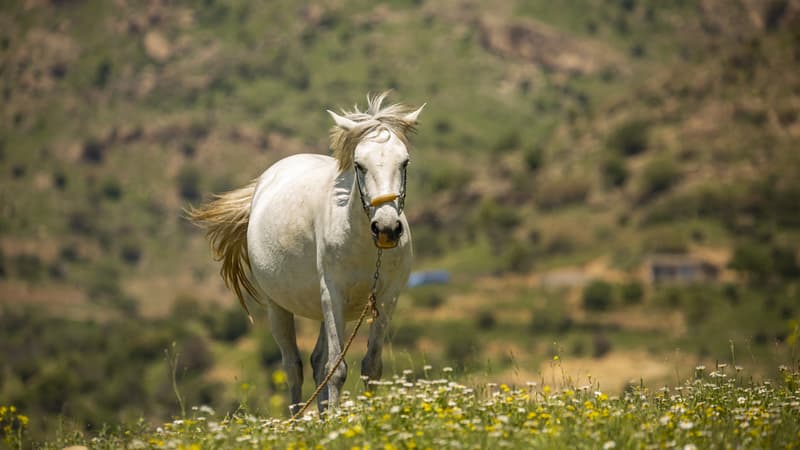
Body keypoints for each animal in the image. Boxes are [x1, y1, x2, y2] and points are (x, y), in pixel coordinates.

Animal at [188, 92, 424, 414]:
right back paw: (298, 417)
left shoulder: (387, 299)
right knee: (293, 367)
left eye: (405, 162)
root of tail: (264, 183)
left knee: (316, 362)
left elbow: (370, 367)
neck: (362, 244)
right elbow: (336, 370)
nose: (386, 228)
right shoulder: (333, 295)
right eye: (359, 165)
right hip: (278, 307)